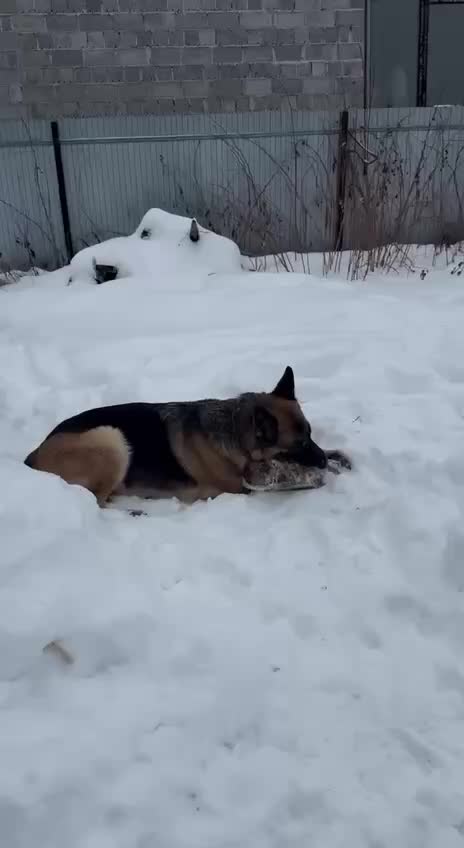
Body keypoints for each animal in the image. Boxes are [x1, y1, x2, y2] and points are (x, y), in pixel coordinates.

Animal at [23, 366, 346, 510]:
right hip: (110, 439)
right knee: (96, 501)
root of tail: (34, 454)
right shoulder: (236, 489)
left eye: (311, 434)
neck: (234, 431)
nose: (319, 460)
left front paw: (337, 457)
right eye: (298, 445)